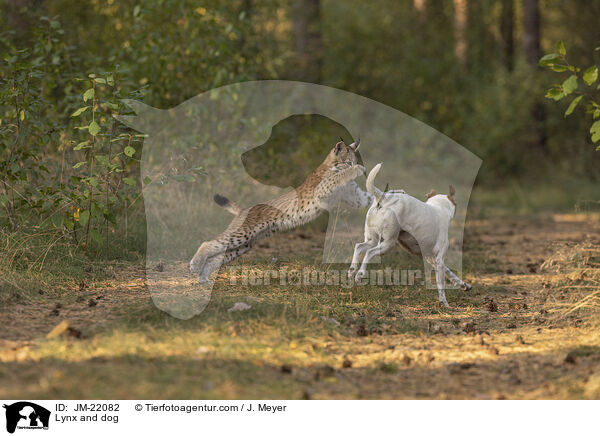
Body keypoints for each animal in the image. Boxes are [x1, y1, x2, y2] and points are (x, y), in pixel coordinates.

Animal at [346, 164, 474, 306]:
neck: (439, 208)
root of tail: (383, 198)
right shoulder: (439, 259)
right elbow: (441, 285)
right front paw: (444, 303)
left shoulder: (432, 259)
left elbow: (450, 272)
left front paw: (464, 285)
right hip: (388, 243)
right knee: (369, 253)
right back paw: (360, 274)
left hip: (372, 240)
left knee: (359, 247)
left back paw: (352, 271)